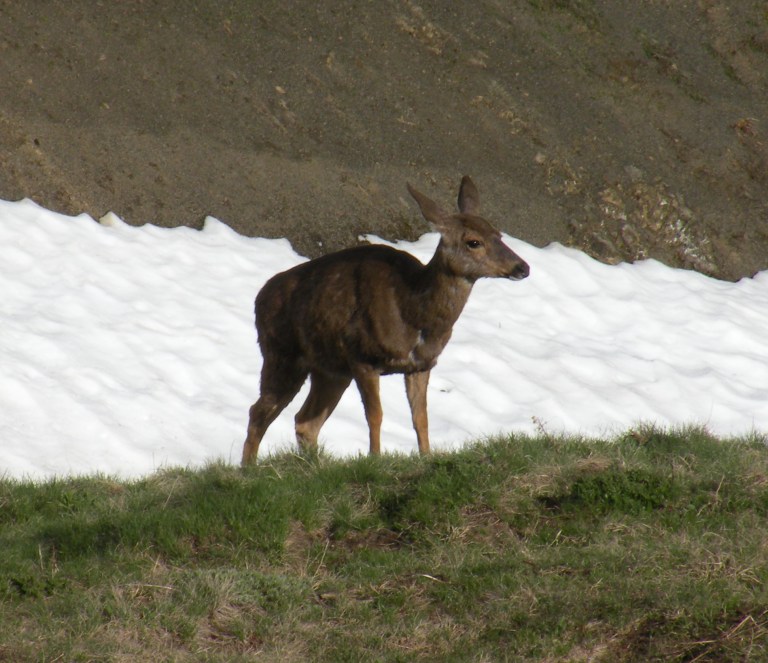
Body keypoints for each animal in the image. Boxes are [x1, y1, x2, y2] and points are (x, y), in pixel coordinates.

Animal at [241, 176, 529, 464]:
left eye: (499, 234)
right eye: (473, 242)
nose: (523, 267)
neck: (414, 312)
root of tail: (259, 298)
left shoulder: (421, 364)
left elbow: (421, 418)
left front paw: (426, 457)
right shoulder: (362, 357)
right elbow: (375, 415)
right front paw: (375, 459)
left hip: (330, 370)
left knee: (305, 421)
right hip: (281, 355)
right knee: (258, 412)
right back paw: (249, 468)